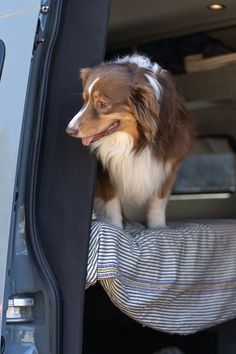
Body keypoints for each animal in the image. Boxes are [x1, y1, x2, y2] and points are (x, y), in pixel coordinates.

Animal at [66, 54, 194, 228]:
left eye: (102, 103)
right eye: (84, 100)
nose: (69, 130)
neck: (136, 141)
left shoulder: (167, 163)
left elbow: (157, 202)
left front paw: (158, 227)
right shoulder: (105, 173)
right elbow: (112, 206)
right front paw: (116, 228)